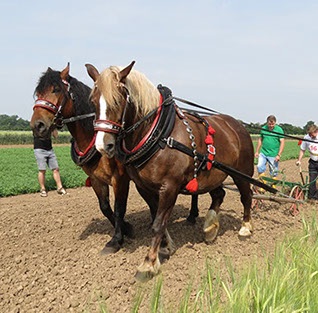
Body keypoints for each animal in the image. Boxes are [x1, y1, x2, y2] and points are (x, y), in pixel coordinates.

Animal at [29, 64, 134, 254]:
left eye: (56, 89)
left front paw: (117, 238)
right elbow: (105, 207)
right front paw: (126, 228)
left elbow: (118, 208)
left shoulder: (120, 178)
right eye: (38, 93)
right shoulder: (96, 179)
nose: (37, 125)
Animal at [85, 61, 255, 278]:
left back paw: (245, 227)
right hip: (212, 174)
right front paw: (166, 247)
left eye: (118, 100)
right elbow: (156, 218)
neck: (160, 135)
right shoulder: (144, 187)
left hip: (242, 172)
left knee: (246, 196)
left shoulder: (170, 186)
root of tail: (238, 125)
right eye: (93, 101)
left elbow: (158, 223)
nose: (102, 146)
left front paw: (148, 263)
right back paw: (210, 228)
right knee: (219, 194)